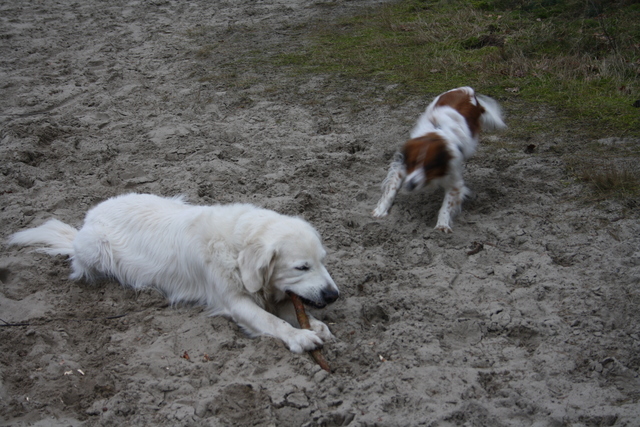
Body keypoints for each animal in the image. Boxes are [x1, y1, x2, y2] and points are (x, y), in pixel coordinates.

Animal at [10, 194, 340, 354]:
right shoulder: (234, 301)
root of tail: (88, 218)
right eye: (301, 267)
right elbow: (271, 320)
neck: (236, 242)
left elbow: (284, 307)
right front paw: (300, 337)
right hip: (95, 248)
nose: (334, 295)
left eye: (322, 261)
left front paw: (313, 324)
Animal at [370, 87, 504, 234]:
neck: (436, 136)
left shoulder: (454, 179)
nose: (410, 185)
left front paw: (442, 225)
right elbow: (391, 190)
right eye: (412, 163)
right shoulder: (402, 169)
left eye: (429, 166)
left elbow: (447, 205)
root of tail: (467, 90)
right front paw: (381, 210)